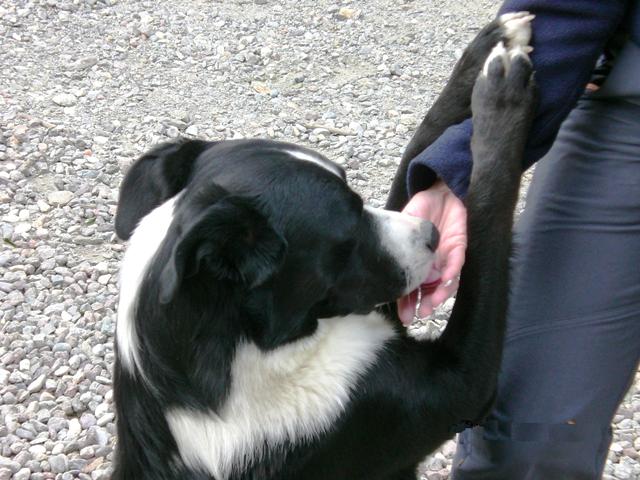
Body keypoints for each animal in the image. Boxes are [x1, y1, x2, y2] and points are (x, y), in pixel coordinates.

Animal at [114, 11, 536, 480]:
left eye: (356, 197)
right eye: (346, 232)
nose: (433, 234)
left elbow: (418, 147)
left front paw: (491, 43)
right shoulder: (454, 387)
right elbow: (487, 214)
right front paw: (503, 94)